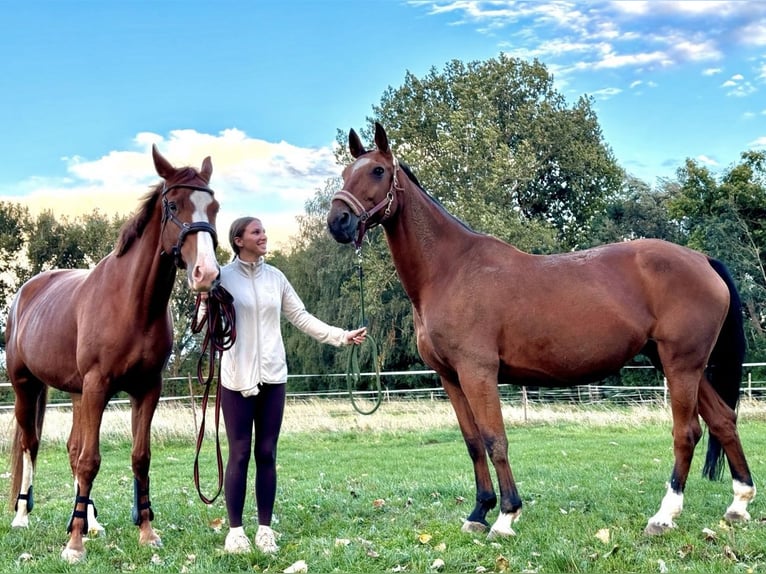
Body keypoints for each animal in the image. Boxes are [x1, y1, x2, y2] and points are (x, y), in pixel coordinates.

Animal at [6, 145, 221, 562]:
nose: (207, 273)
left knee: (73, 449)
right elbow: (91, 460)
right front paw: (73, 546)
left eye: (214, 206)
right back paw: (22, 517)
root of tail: (24, 293)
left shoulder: (146, 389)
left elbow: (139, 458)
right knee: (30, 443)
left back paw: (90, 520)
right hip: (27, 386)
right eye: (173, 204)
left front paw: (147, 533)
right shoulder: (98, 386)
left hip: (76, 393)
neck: (132, 303)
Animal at [327, 122, 755, 538]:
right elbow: (472, 442)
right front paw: (479, 512)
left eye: (378, 171)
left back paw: (664, 516)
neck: (451, 270)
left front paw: (505, 516)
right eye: (346, 173)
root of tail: (702, 259)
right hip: (680, 365)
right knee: (723, 420)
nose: (337, 222)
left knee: (687, 431)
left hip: (681, 365)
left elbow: (495, 440)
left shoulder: (478, 373)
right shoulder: (450, 377)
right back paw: (739, 504)